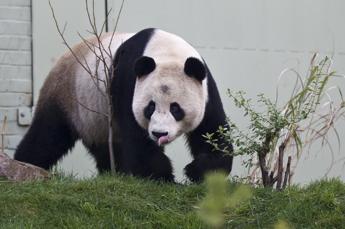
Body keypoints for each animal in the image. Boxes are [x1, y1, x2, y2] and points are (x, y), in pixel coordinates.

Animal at [14, 28, 232, 182]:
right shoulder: (126, 81)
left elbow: (212, 132)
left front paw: (196, 170)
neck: (167, 52)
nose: (159, 134)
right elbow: (138, 140)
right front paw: (164, 178)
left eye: (176, 108)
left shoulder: (205, 89)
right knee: (48, 135)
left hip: (97, 120)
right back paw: (23, 163)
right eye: (150, 107)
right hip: (67, 95)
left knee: (105, 149)